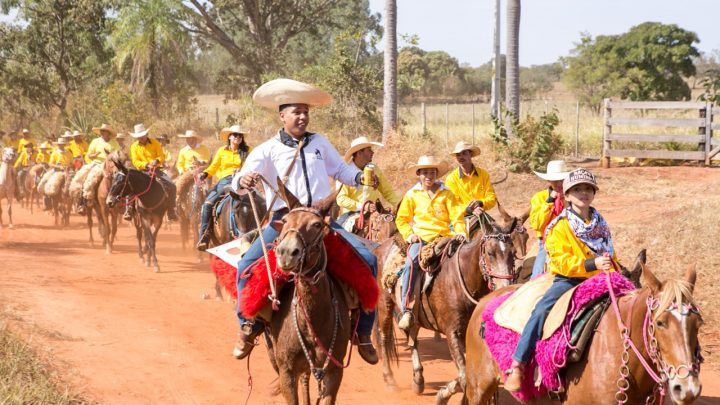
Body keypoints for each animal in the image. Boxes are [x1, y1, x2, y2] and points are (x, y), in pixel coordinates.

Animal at [262, 185, 352, 404]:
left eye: (317, 225)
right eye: (285, 220)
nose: (286, 252)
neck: (313, 320)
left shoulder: (334, 371)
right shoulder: (286, 371)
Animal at [376, 210, 524, 402]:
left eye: (513, 253)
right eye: (490, 253)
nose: (503, 287)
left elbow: (466, 375)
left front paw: (444, 394)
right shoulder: (452, 332)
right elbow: (463, 377)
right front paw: (443, 396)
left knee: (412, 335)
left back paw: (418, 379)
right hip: (384, 304)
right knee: (384, 336)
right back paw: (389, 379)